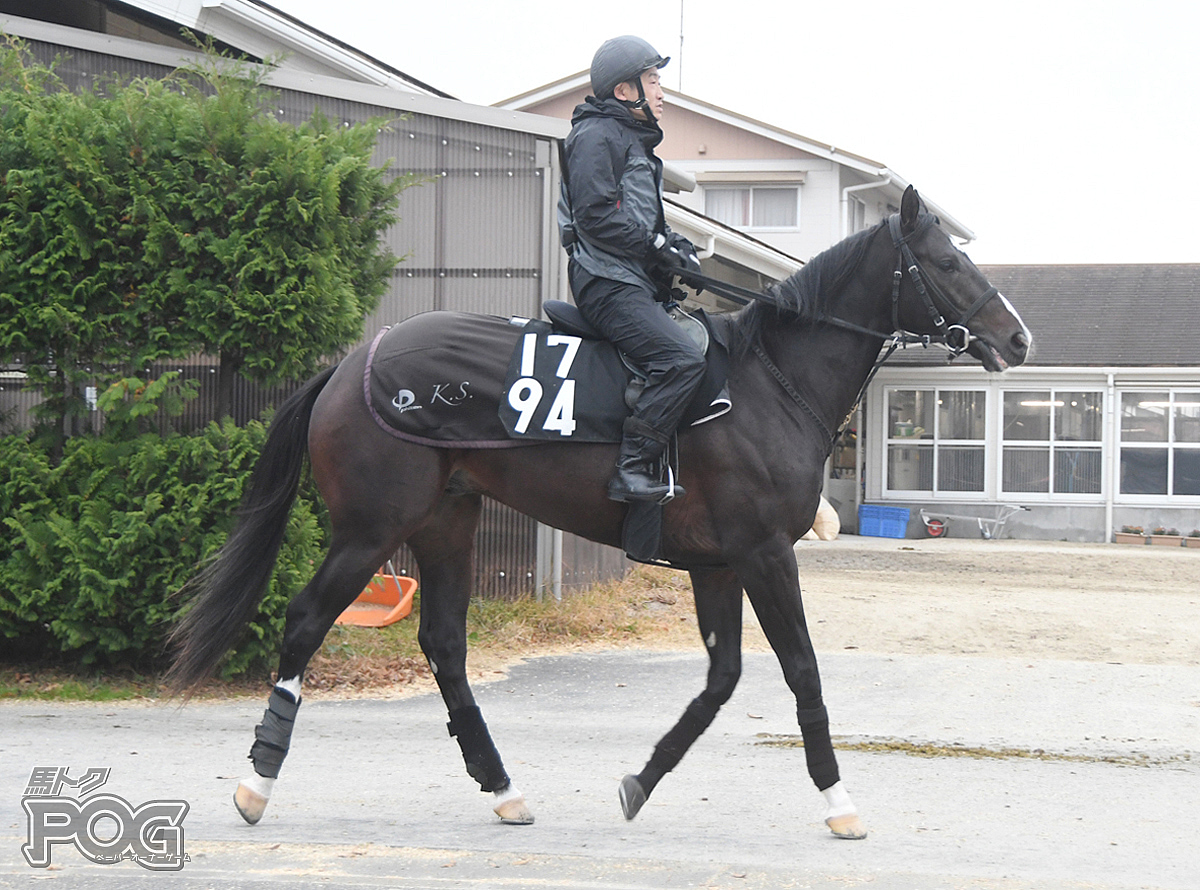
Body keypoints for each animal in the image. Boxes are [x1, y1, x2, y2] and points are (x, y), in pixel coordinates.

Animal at [166, 184, 1032, 839]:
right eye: (947, 261)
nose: (1018, 339)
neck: (766, 380)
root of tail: (353, 365)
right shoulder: (763, 554)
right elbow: (800, 670)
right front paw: (840, 802)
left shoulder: (718, 565)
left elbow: (722, 679)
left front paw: (641, 779)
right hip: (371, 529)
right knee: (306, 620)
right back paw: (256, 784)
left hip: (447, 521)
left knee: (444, 644)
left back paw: (503, 788)